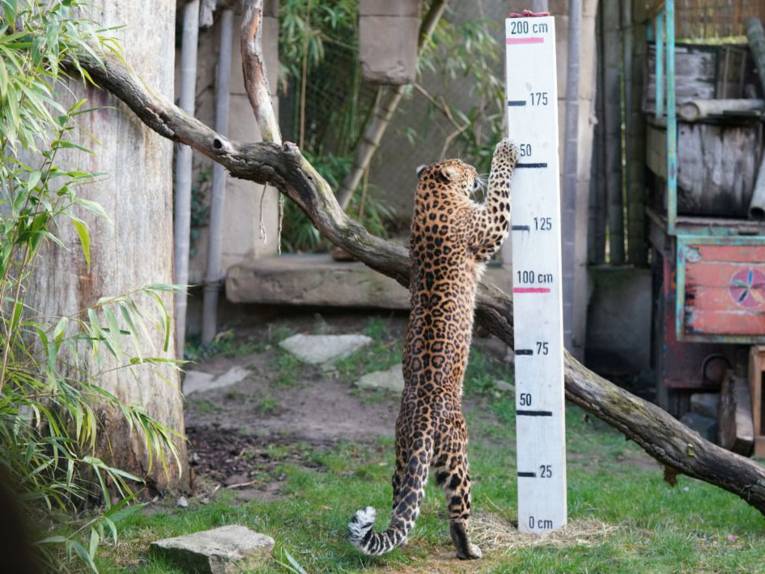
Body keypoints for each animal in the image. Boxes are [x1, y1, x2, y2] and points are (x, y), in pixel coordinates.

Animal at [348, 139, 518, 560]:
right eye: (466, 166)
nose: (474, 172)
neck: (428, 194)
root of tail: (423, 416)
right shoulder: (489, 224)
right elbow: (500, 190)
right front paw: (504, 151)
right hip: (458, 458)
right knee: (458, 512)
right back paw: (470, 549)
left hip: (402, 455)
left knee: (401, 502)